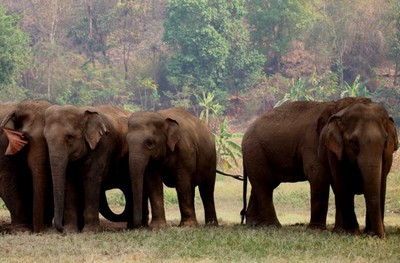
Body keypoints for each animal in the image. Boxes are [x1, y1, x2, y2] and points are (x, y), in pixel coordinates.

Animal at [43, 105, 133, 233]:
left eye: (70, 137)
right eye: (45, 138)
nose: (61, 228)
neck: (81, 111)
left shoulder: (102, 145)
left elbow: (91, 178)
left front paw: (90, 231)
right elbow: (70, 182)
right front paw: (70, 231)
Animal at [242, 97, 374, 231]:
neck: (333, 104)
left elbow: (335, 181)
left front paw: (339, 229)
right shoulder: (312, 142)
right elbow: (318, 175)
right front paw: (317, 229)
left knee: (264, 184)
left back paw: (254, 224)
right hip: (255, 151)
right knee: (264, 183)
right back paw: (273, 226)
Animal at [318, 100, 396, 237]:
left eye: (385, 141)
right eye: (353, 142)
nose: (381, 235)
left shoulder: (387, 156)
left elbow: (381, 184)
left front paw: (370, 233)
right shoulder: (334, 153)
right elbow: (342, 184)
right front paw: (353, 232)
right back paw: (339, 231)